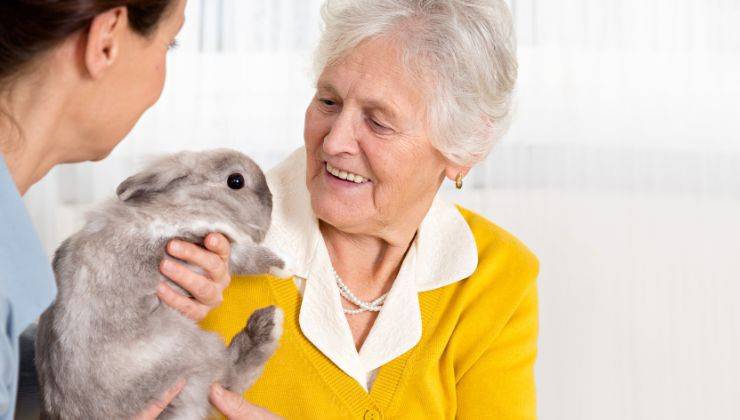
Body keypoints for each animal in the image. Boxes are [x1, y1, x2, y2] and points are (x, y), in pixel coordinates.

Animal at [35, 149, 285, 420]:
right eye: (236, 181)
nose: (271, 203)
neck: (194, 199)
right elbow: (245, 257)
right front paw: (280, 266)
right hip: (191, 348)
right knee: (226, 379)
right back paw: (266, 325)